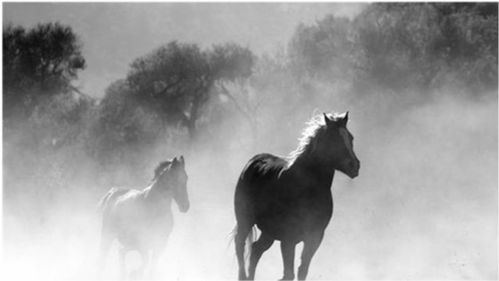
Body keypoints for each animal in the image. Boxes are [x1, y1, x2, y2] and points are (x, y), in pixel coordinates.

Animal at [234, 112, 360, 280]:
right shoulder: (288, 239)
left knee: (255, 250)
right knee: (240, 245)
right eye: (334, 139)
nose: (355, 166)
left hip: (268, 232)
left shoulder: (314, 237)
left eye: (351, 138)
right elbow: (289, 274)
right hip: (245, 220)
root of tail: (253, 162)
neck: (307, 189)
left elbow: (302, 270)